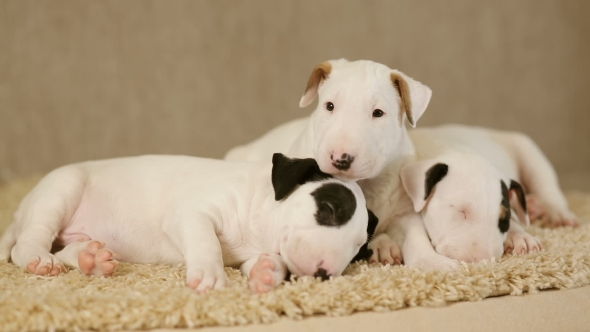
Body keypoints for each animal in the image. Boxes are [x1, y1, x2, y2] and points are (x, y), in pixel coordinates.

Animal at [0, 153, 376, 294]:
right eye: (328, 209)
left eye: (359, 249)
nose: (325, 274)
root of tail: (19, 212)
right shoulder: (191, 213)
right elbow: (206, 241)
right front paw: (209, 276)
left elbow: (264, 262)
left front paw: (268, 271)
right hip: (62, 189)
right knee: (28, 244)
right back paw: (39, 259)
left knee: (64, 248)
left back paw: (89, 258)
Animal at [388, 124, 580, 264]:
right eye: (460, 210)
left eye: (503, 220)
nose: (482, 260)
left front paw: (521, 237)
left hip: (530, 154)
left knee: (548, 189)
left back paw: (557, 214)